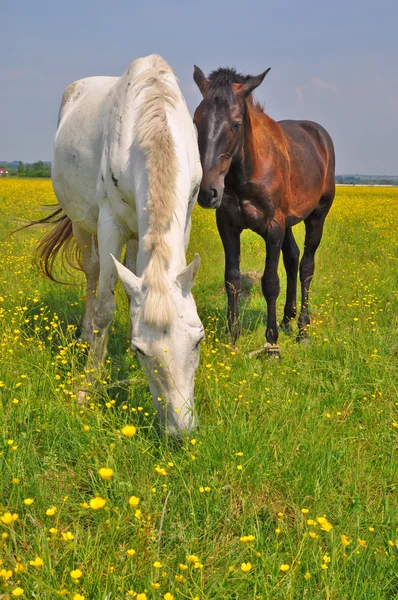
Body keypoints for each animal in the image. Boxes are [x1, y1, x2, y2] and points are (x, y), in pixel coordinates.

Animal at [37, 54, 205, 434]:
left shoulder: (183, 221)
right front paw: (86, 390)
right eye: (142, 351)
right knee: (92, 271)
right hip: (83, 225)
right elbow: (104, 308)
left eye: (198, 341)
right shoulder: (109, 223)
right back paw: (85, 338)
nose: (181, 431)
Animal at [194, 65, 334, 356]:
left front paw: (271, 343)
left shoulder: (273, 228)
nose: (208, 192)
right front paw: (232, 335)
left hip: (317, 214)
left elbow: (270, 282)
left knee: (306, 266)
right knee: (292, 259)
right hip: (290, 222)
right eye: (196, 121)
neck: (247, 171)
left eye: (236, 124)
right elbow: (232, 280)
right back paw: (288, 319)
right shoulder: (228, 227)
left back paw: (302, 329)